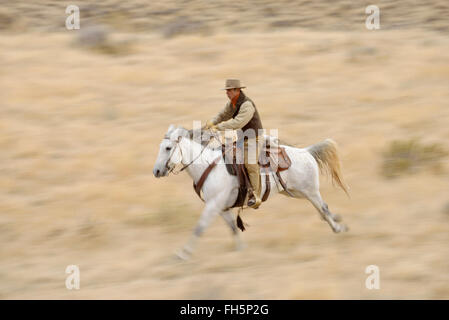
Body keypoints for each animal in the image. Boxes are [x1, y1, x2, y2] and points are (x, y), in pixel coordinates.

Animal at [152, 125, 348, 260]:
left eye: (168, 148)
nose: (156, 171)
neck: (208, 165)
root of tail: (306, 152)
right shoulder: (221, 208)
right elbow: (233, 228)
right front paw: (241, 249)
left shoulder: (213, 205)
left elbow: (199, 228)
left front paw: (182, 254)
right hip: (295, 192)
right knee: (322, 209)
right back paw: (339, 222)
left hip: (310, 191)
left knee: (323, 208)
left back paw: (338, 227)